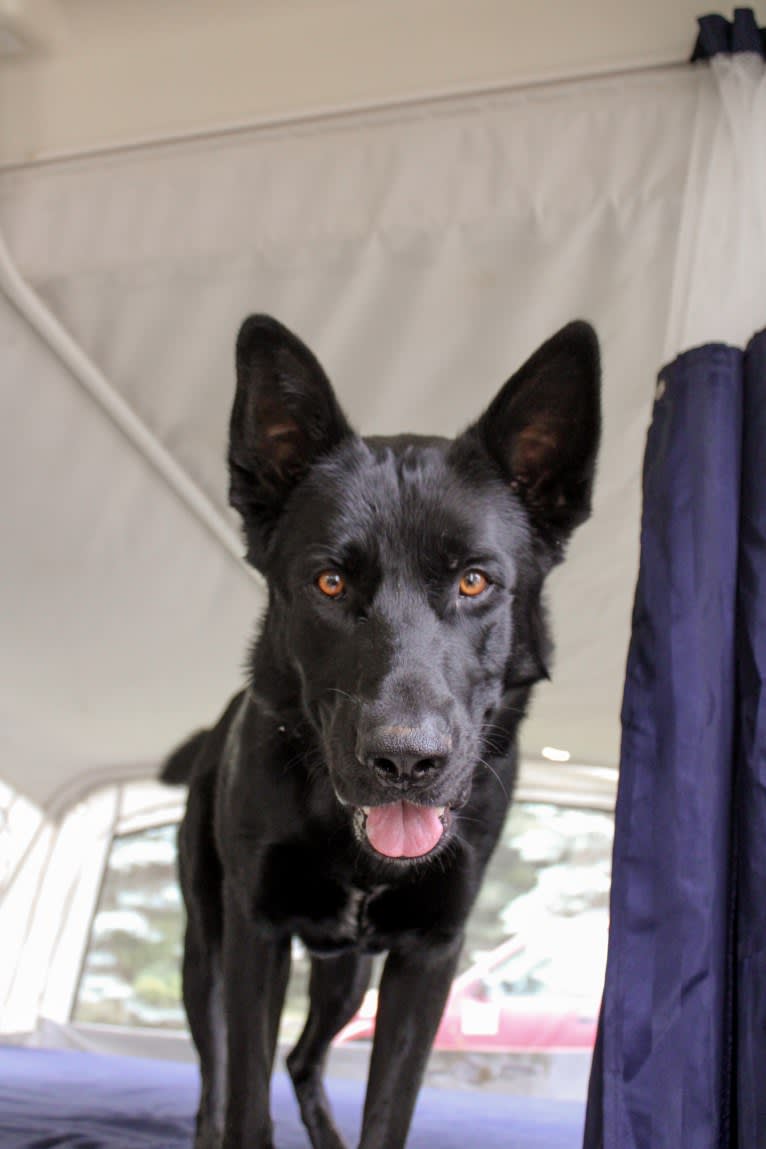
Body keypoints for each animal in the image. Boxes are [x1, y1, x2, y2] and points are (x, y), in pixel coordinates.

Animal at [165, 317, 601, 1149]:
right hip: (208, 942)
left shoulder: (429, 954)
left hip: (350, 974)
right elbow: (244, 1103)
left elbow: (388, 1111)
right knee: (216, 1070)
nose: (405, 760)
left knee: (302, 1056)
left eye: (474, 580)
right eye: (330, 582)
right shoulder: (257, 931)